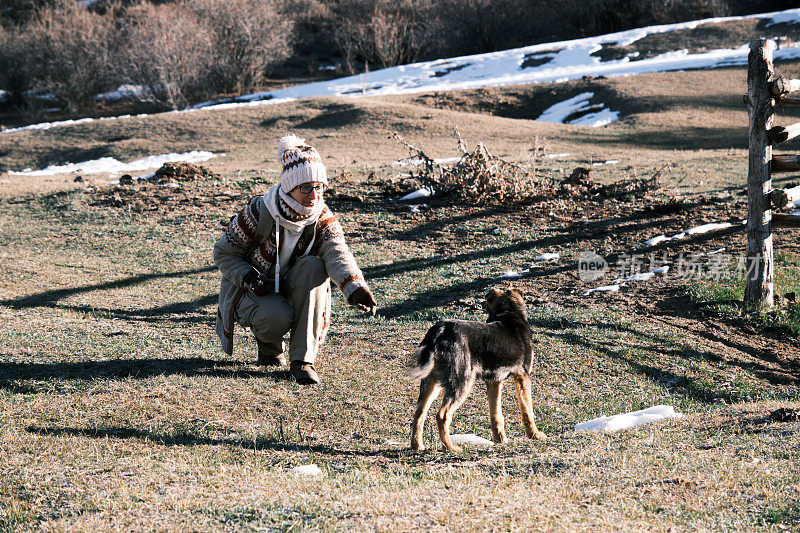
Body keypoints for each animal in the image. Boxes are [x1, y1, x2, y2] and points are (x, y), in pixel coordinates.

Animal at [410, 288, 548, 450]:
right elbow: (527, 410)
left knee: (419, 413)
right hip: (462, 382)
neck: (507, 313)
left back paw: (417, 445)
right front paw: (535, 435)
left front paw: (500, 440)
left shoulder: (494, 381)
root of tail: (440, 331)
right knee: (442, 415)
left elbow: (496, 414)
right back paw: (450, 448)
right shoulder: (523, 375)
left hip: (431, 383)